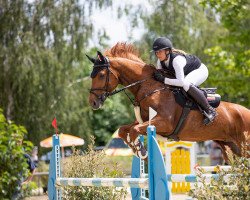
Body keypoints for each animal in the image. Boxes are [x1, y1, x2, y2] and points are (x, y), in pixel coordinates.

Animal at [87, 43, 249, 160]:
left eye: (101, 75)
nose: (93, 102)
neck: (148, 85)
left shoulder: (164, 122)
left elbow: (134, 130)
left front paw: (141, 150)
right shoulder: (145, 120)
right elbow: (123, 130)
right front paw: (138, 149)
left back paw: (210, 114)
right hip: (232, 147)